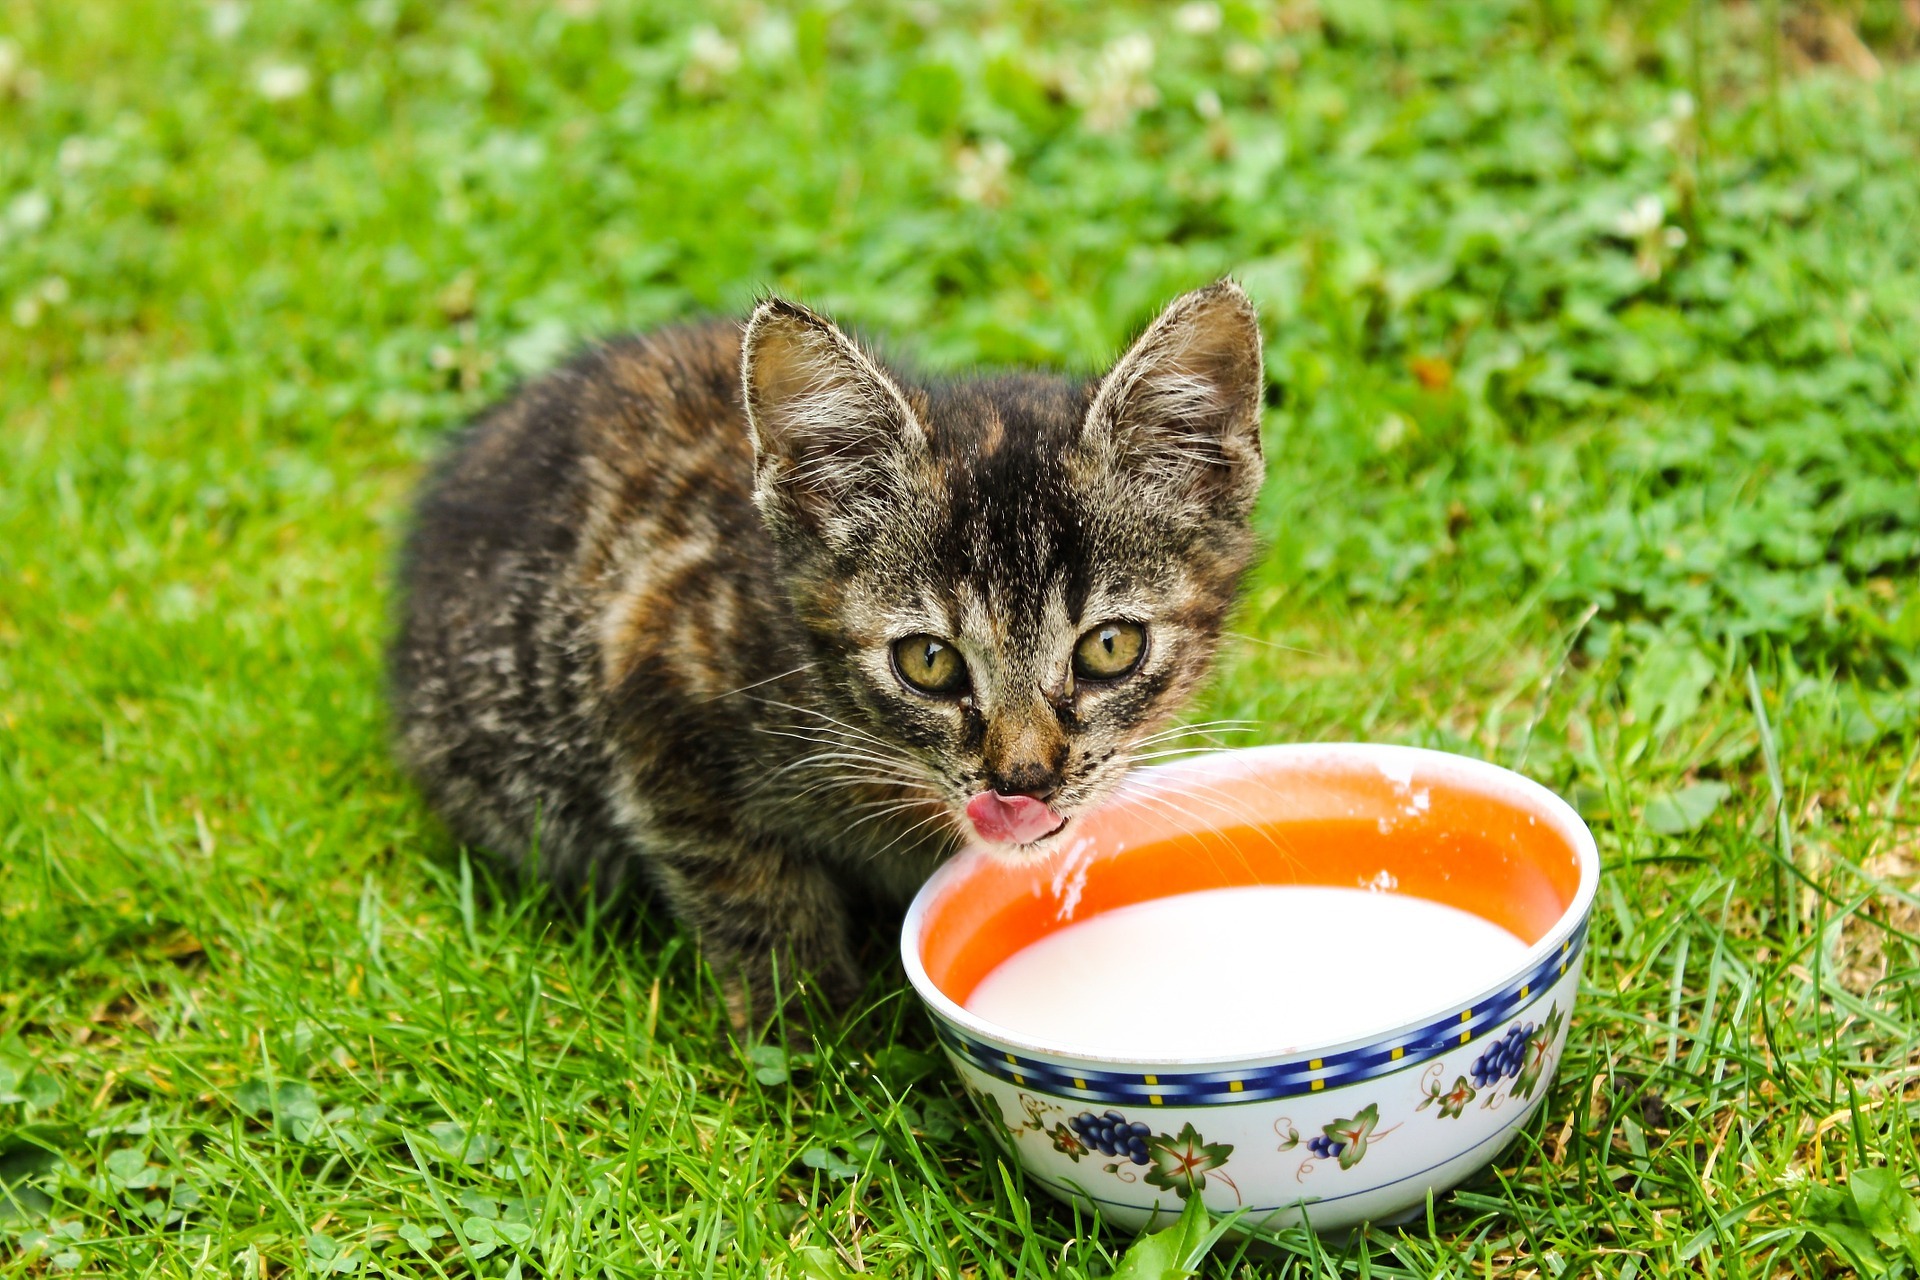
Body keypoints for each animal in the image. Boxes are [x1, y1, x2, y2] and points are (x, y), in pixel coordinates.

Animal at [385, 282, 1259, 1020]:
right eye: (929, 662)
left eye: (1110, 647)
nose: (1024, 780)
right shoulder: (656, 683)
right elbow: (750, 890)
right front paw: (815, 1033)